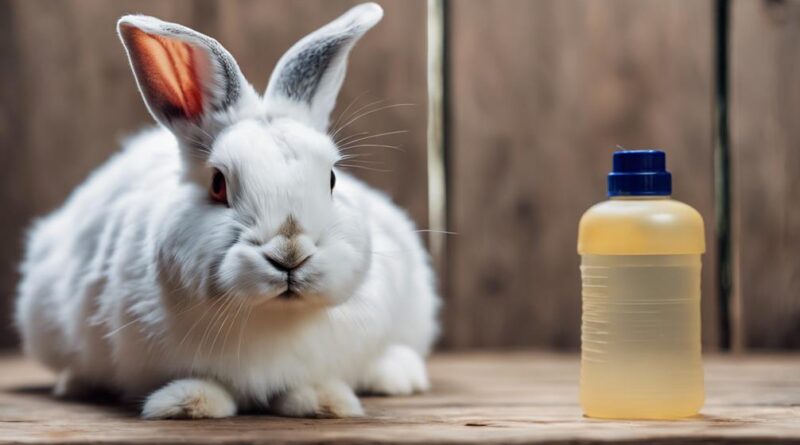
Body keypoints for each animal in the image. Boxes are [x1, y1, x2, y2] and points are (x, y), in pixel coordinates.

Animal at [14, 3, 438, 418]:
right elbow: (200, 382)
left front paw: (323, 401)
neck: (274, 320)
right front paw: (190, 403)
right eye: (218, 184)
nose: (290, 254)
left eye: (332, 179)